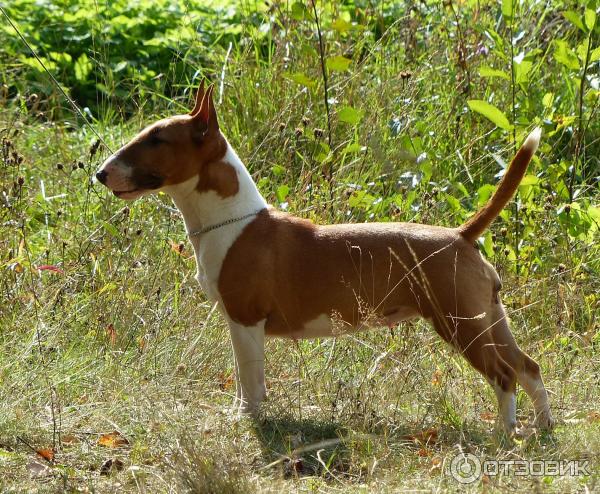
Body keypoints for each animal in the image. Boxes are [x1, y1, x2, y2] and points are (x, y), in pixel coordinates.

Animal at [97, 84, 552, 432]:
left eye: (157, 139)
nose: (100, 173)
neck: (232, 221)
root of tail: (460, 235)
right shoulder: (237, 323)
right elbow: (244, 379)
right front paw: (239, 414)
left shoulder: (246, 320)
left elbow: (251, 380)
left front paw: (246, 421)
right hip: (489, 317)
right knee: (528, 367)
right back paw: (542, 429)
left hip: (461, 323)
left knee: (504, 375)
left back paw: (503, 435)